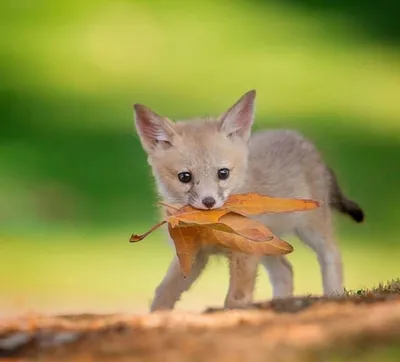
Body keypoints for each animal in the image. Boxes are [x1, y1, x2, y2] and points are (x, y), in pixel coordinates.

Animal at [133, 90, 364, 312]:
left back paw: (333, 297)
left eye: (223, 173)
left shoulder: (244, 254)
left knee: (332, 256)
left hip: (311, 230)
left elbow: (235, 299)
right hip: (269, 245)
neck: (210, 228)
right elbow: (163, 292)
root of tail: (302, 140)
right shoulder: (193, 254)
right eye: (185, 177)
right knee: (285, 272)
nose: (209, 202)